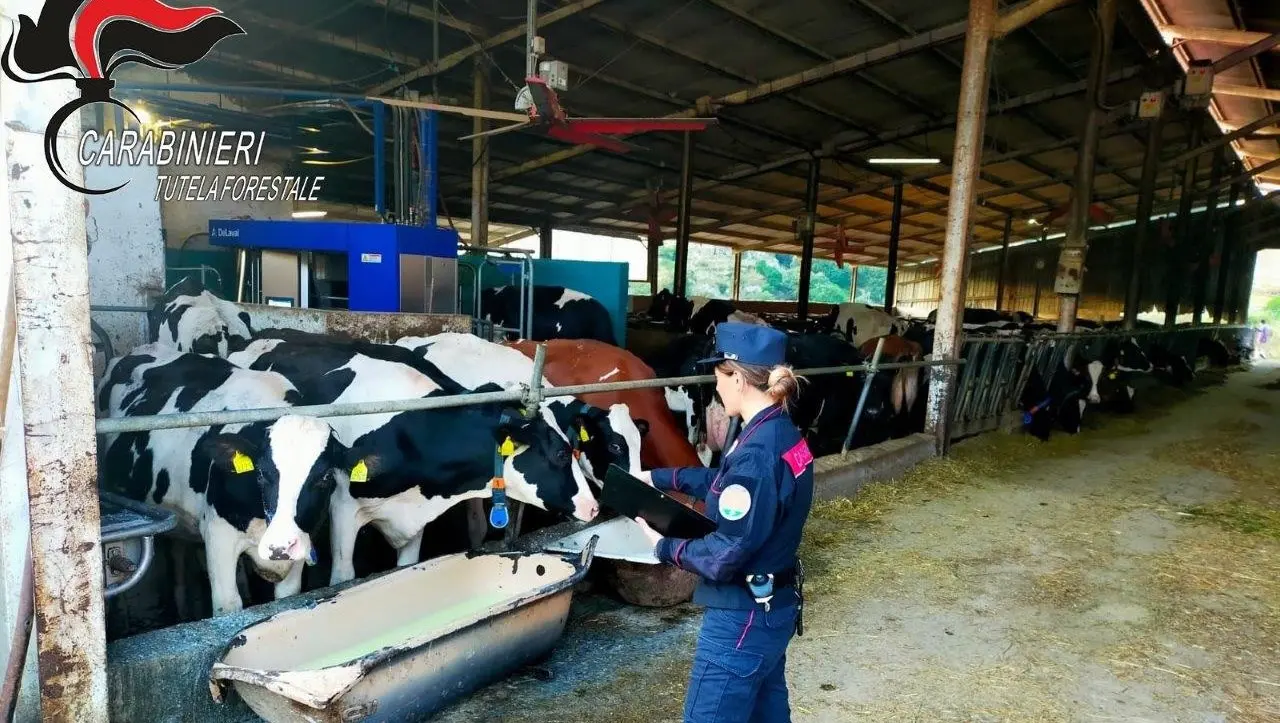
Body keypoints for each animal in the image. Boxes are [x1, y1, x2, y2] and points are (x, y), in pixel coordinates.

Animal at [97, 340, 345, 611]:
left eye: (325, 477)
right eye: (261, 473)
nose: (281, 543)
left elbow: (286, 596)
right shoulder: (219, 536)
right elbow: (228, 605)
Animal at [230, 337, 599, 580]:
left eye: (575, 449)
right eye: (560, 453)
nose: (594, 507)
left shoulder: (415, 515)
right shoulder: (343, 507)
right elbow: (344, 576)